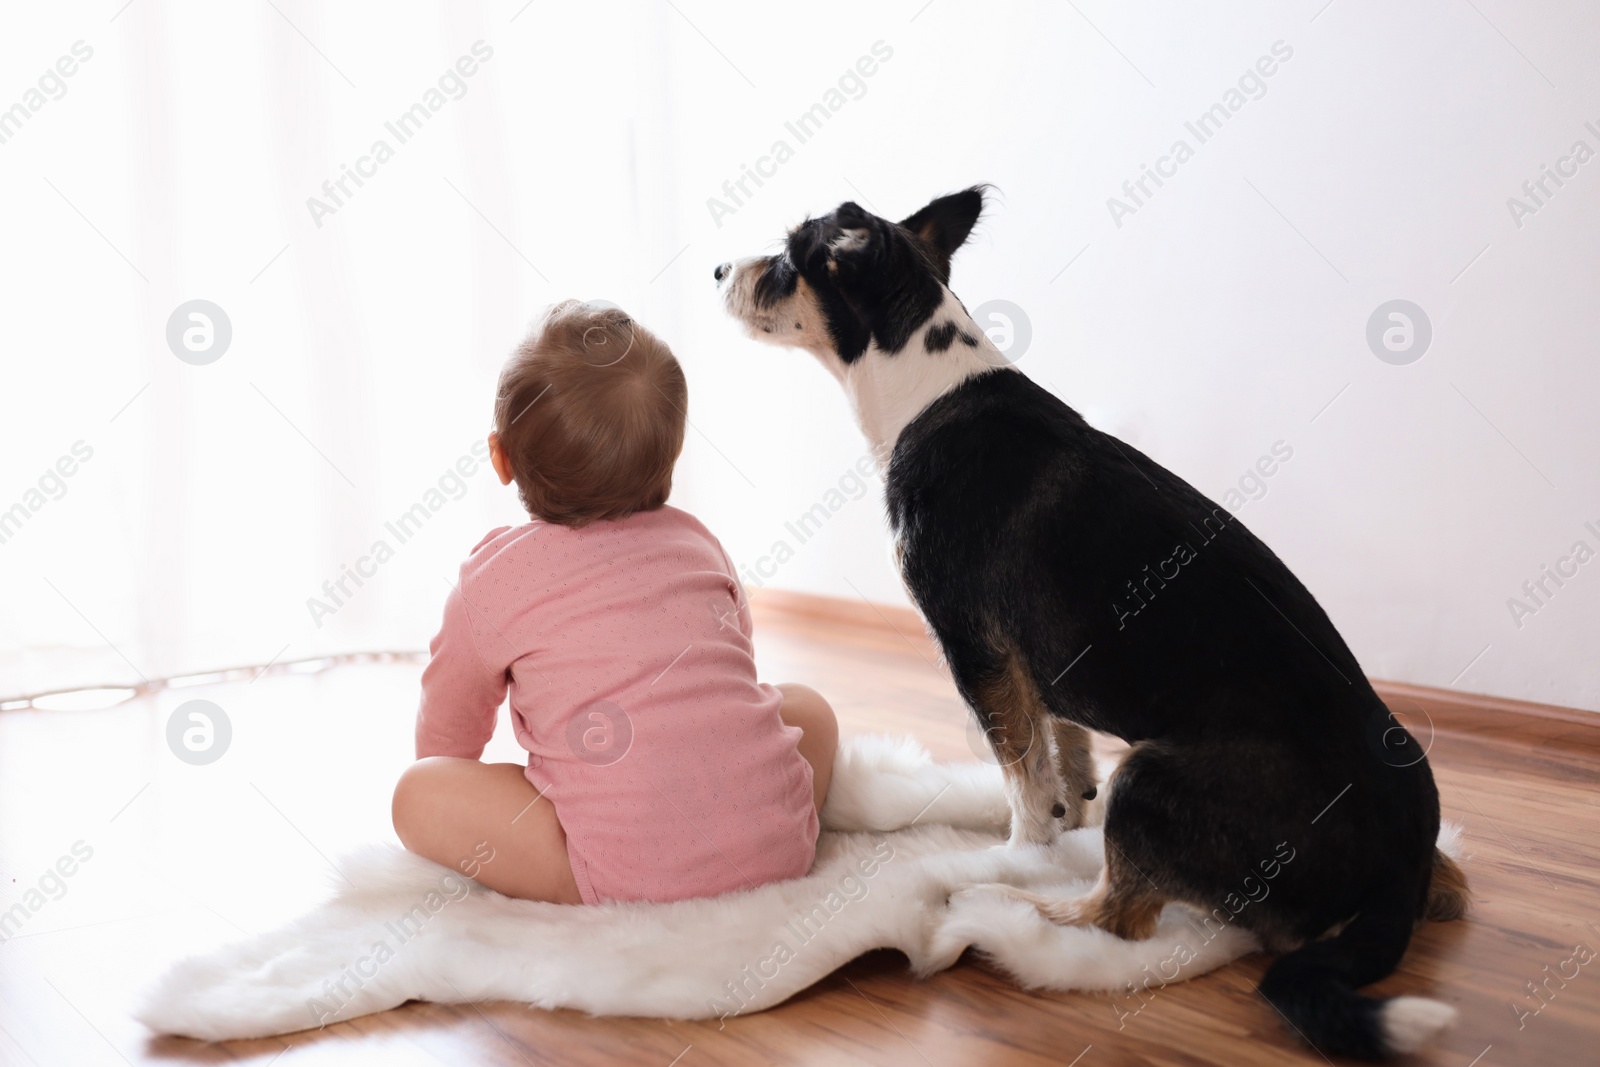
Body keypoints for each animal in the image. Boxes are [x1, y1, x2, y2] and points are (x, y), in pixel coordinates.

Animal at [720, 187, 1465, 1062]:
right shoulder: (1039, 660)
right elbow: (1059, 749)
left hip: (1148, 777)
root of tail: (1400, 864)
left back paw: (999, 904)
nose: (717, 270)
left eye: (783, 261)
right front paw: (1066, 814)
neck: (925, 385)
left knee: (1121, 918)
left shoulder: (974, 646)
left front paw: (1020, 854)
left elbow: (1021, 774)